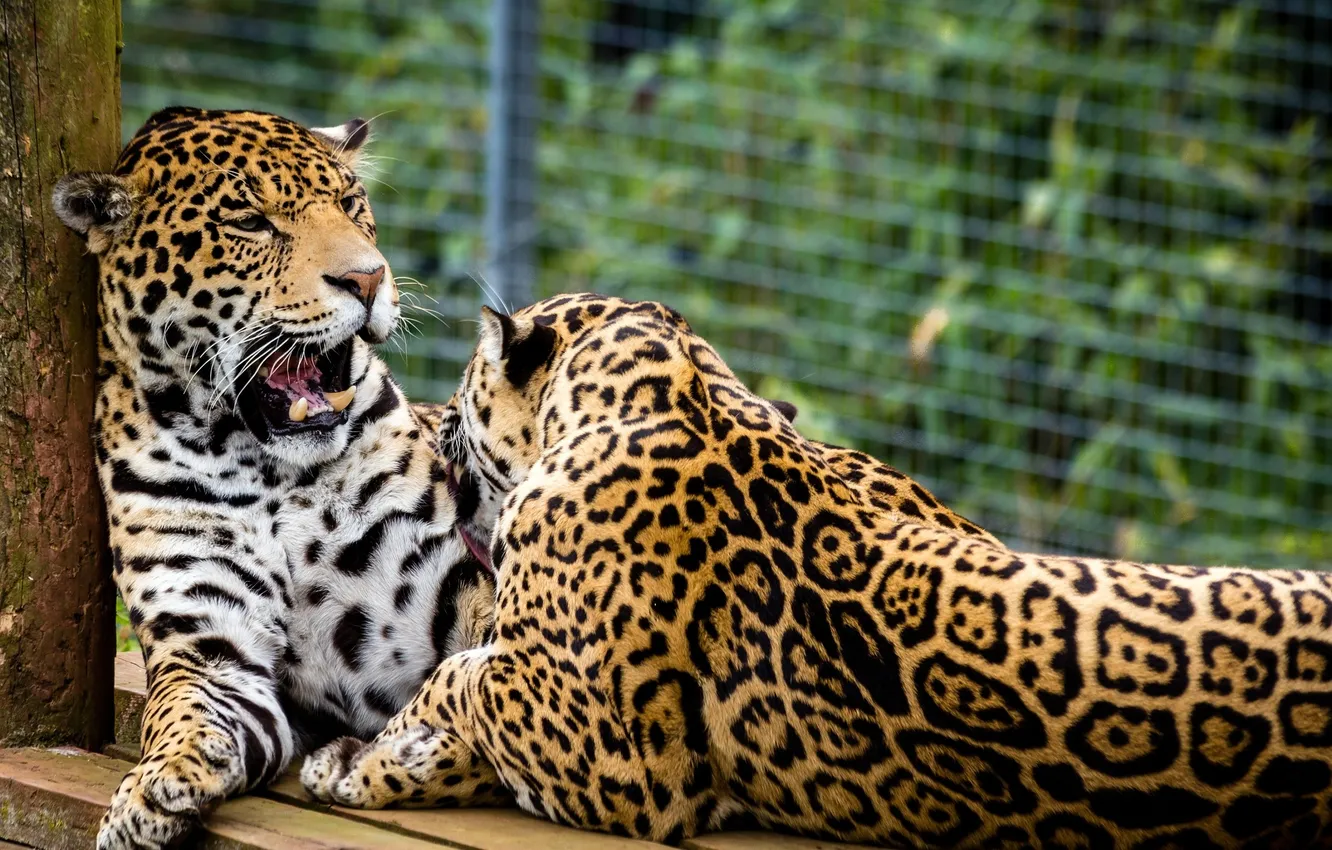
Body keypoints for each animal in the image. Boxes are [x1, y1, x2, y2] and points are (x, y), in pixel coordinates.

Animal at [53, 107, 506, 850]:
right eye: (249, 223)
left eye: (350, 204)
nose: (369, 280)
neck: (268, 470)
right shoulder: (208, 645)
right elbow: (180, 716)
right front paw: (146, 797)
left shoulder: (469, 597)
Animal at [307, 291, 1332, 848]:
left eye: (467, 394)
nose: (439, 425)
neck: (687, 392)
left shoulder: (624, 757)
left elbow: (463, 675)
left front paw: (388, 749)